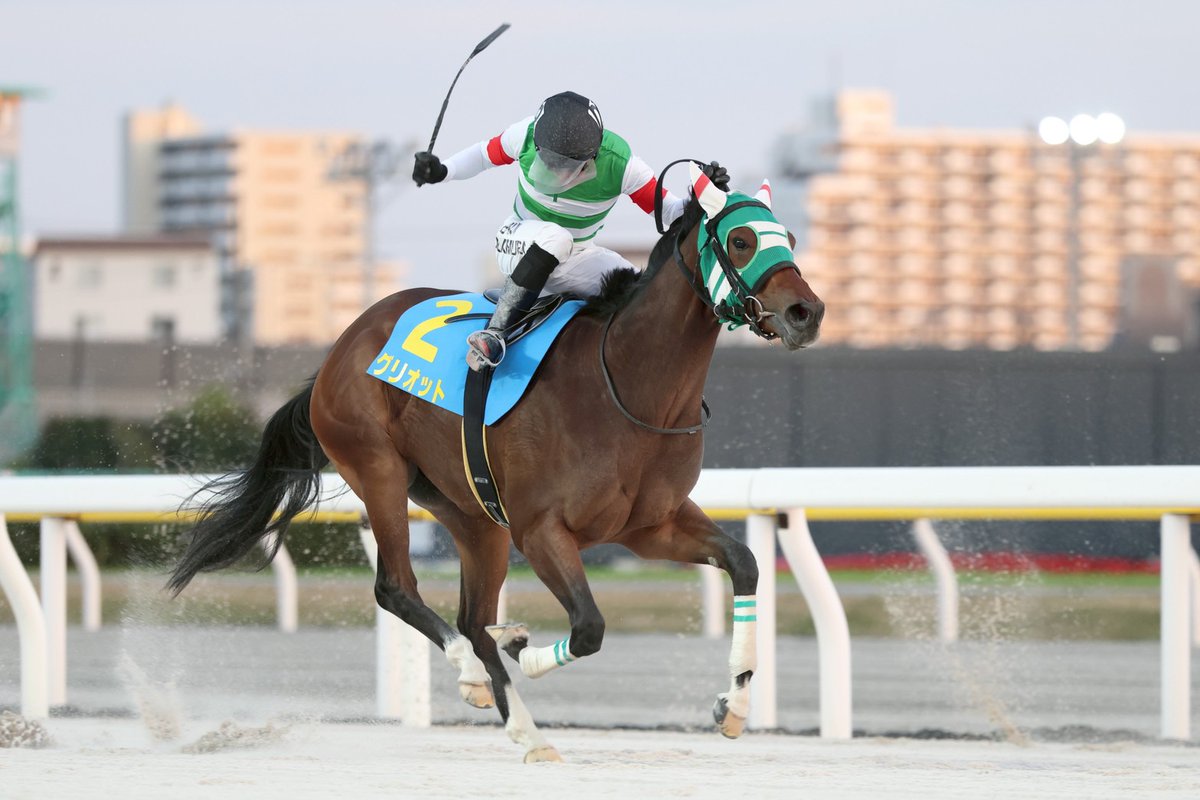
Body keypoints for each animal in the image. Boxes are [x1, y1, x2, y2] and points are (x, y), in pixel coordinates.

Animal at [167, 162, 824, 762]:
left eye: (789, 237)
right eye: (740, 240)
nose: (806, 312)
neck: (628, 385)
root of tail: (338, 350)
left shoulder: (650, 525)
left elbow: (743, 562)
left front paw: (735, 702)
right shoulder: (541, 530)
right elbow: (588, 626)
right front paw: (523, 649)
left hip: (473, 515)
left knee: (471, 615)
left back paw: (527, 730)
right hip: (378, 469)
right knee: (399, 589)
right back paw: (475, 673)